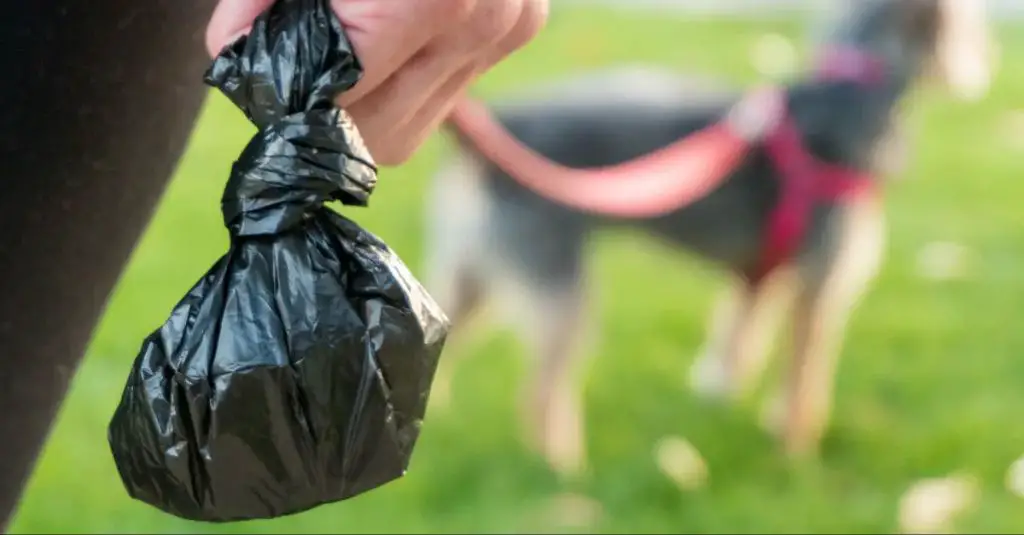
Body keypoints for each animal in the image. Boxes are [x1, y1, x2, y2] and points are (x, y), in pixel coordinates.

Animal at [423, 0, 999, 475]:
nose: (986, 60)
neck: (849, 93)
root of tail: (503, 125)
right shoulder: (818, 284)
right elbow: (805, 379)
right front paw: (796, 452)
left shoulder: (758, 276)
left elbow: (740, 338)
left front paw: (725, 395)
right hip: (557, 281)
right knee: (541, 393)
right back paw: (563, 469)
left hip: (472, 272)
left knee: (449, 344)